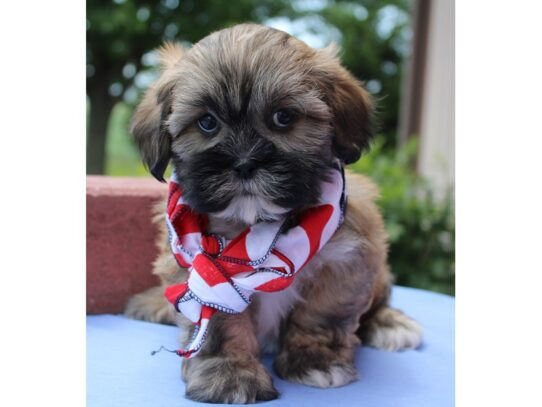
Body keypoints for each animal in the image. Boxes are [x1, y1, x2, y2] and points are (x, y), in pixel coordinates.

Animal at [125, 23, 422, 404]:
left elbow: (320, 314)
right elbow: (220, 323)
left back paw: (390, 323)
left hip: (379, 275)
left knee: (378, 302)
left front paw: (315, 359)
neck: (262, 234)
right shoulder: (203, 270)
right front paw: (231, 373)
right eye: (207, 123)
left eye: (284, 117)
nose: (244, 162)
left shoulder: (348, 262)